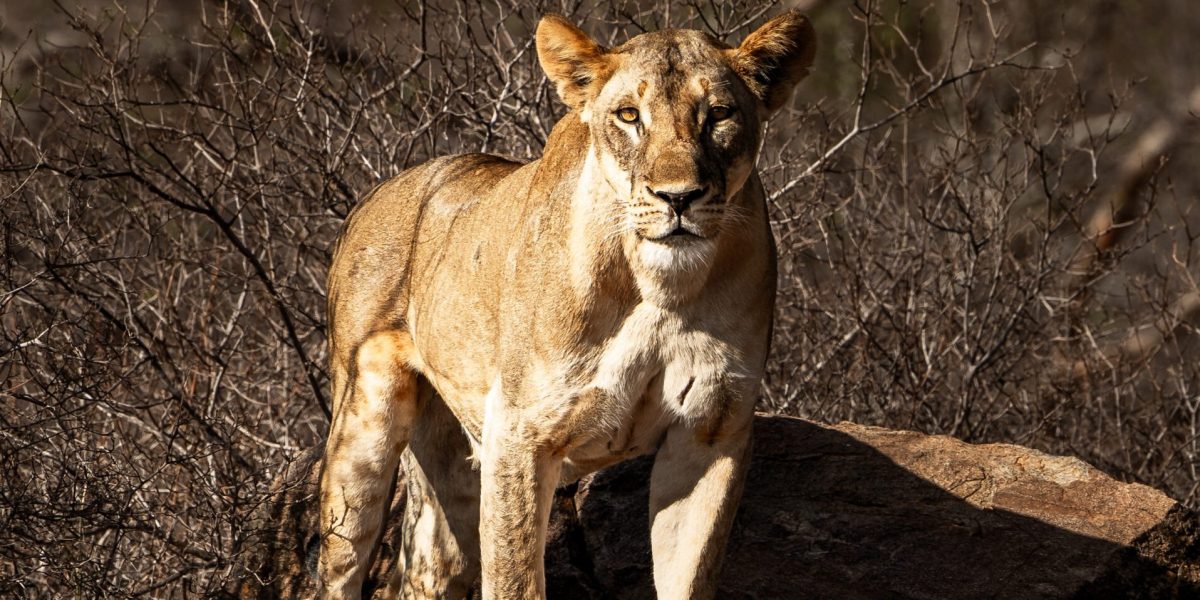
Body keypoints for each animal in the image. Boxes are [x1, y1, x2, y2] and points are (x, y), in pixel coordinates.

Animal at [317, 11, 816, 599]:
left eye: (718, 114)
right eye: (629, 116)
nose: (678, 198)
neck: (659, 287)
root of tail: (372, 196)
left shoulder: (710, 433)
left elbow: (689, 576)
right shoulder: (520, 434)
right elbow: (515, 580)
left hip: (452, 474)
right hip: (361, 433)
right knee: (339, 565)